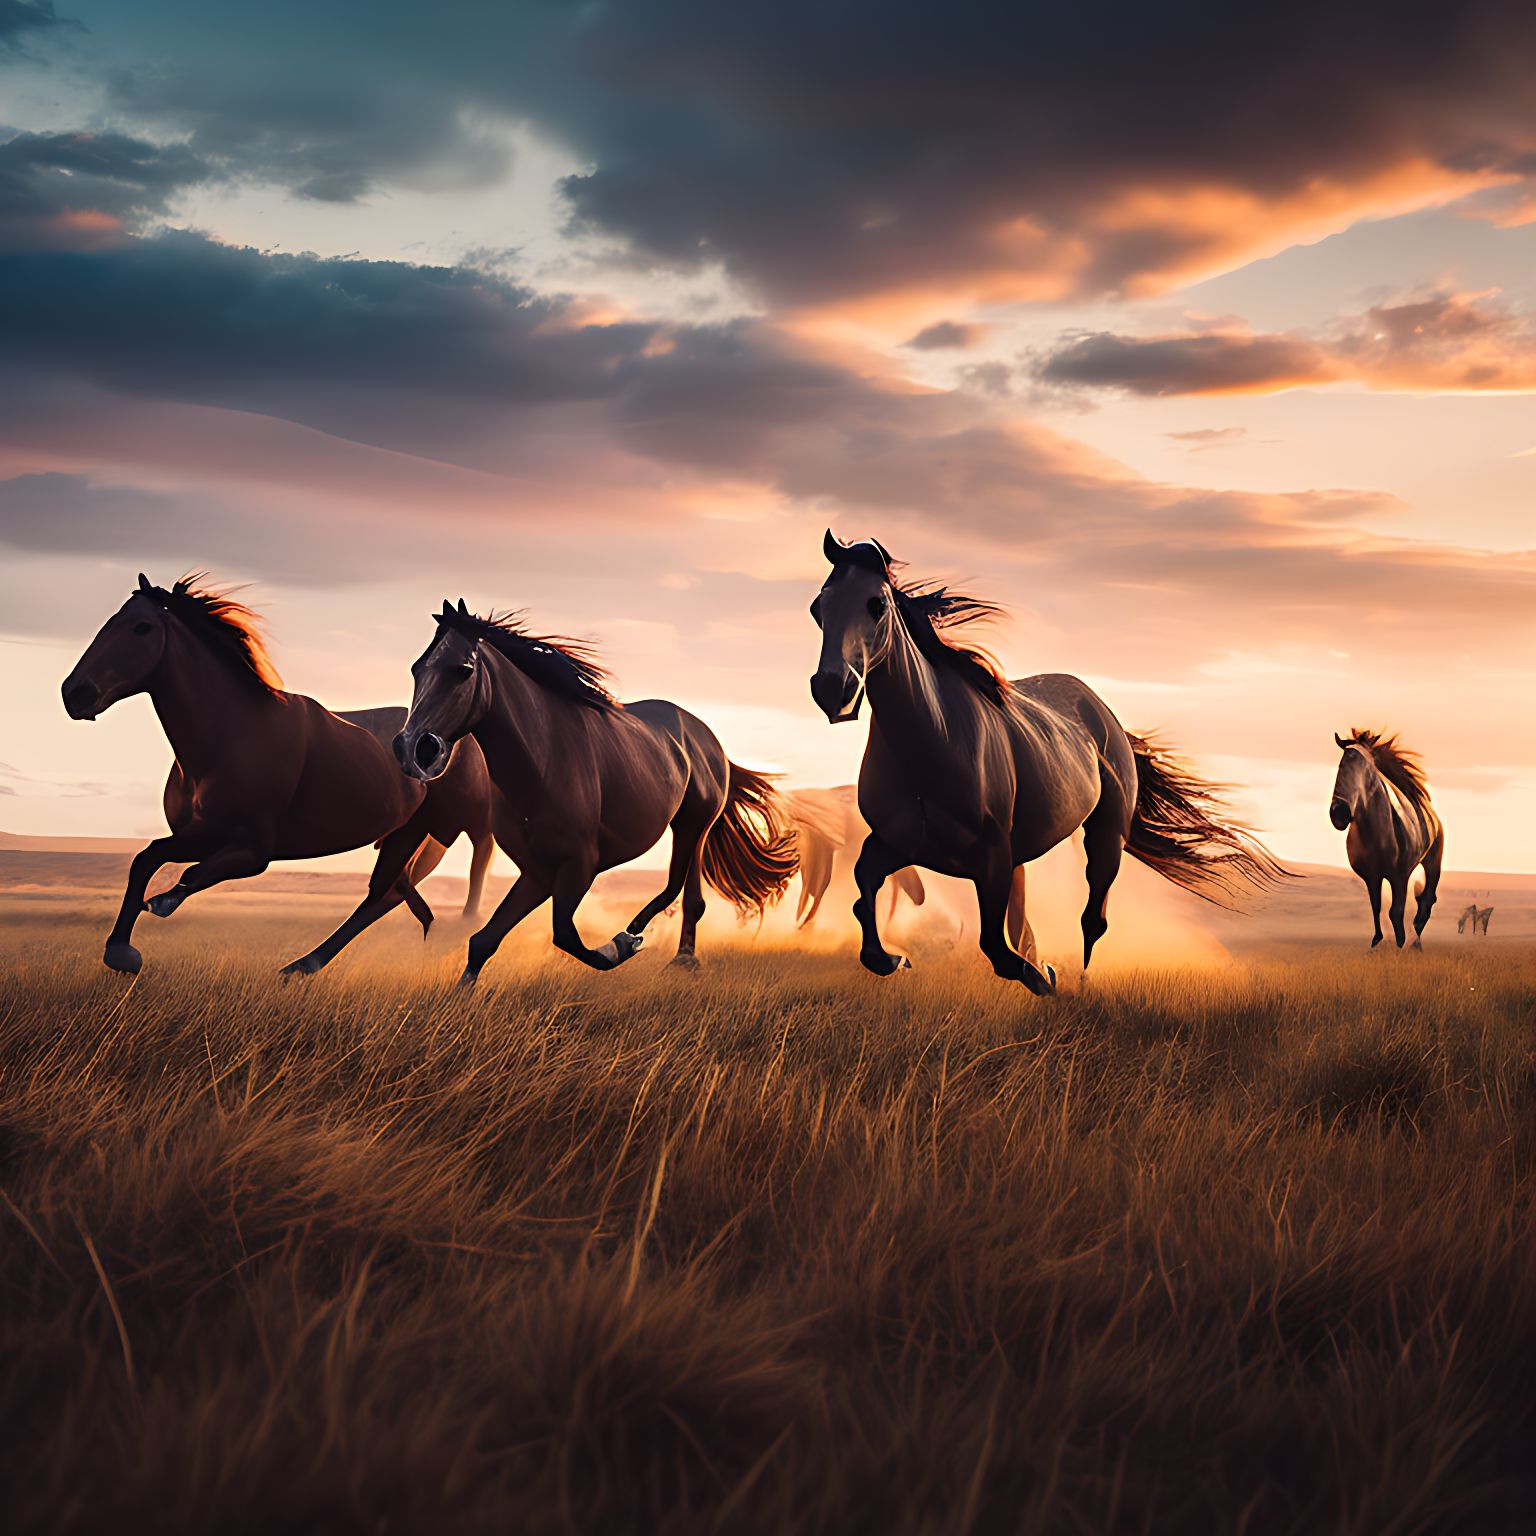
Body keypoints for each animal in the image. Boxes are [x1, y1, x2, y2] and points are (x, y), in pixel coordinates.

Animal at [58, 577, 491, 970]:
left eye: (141, 627)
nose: (73, 693)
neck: (232, 734)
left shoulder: (253, 851)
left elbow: (188, 873)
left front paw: (157, 909)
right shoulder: (197, 835)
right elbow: (146, 859)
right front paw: (121, 950)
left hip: (450, 823)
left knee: (469, 857)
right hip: (410, 833)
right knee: (386, 894)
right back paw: (307, 963)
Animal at [390, 599, 798, 983]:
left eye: (463, 670)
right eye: (417, 669)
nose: (411, 749)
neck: (543, 762)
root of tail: (708, 739)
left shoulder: (579, 866)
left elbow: (565, 936)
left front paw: (619, 947)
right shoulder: (538, 872)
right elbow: (483, 941)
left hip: (693, 825)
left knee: (682, 890)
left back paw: (655, 944)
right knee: (684, 892)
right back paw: (661, 945)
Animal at [811, 534, 1290, 989]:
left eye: (877, 604)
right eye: (818, 608)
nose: (831, 689)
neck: (933, 745)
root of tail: (1102, 711)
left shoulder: (992, 857)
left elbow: (995, 946)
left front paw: (1043, 976)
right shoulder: (901, 843)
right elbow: (864, 890)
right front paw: (894, 959)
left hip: (1106, 835)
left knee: (1093, 918)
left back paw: (1078, 977)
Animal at [1327, 731, 1443, 946]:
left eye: (1366, 769)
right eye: (1340, 765)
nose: (1339, 813)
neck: (1376, 837)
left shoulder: (1400, 876)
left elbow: (1396, 912)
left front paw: (1401, 943)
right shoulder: (1372, 877)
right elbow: (1377, 907)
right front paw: (1377, 940)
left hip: (1432, 863)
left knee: (1428, 898)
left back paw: (1416, 937)